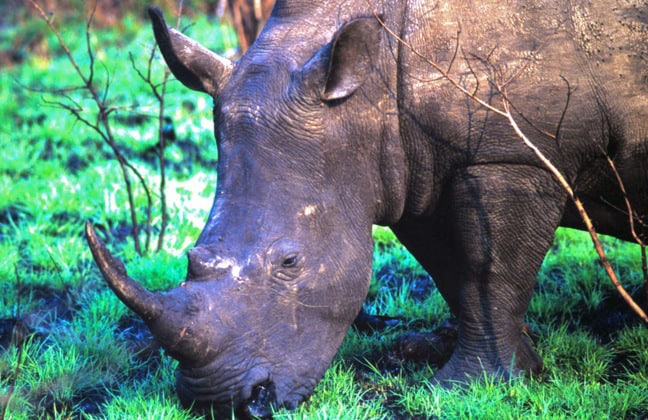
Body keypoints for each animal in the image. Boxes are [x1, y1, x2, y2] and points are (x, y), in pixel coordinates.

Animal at [86, 0, 648, 416]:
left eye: (290, 263)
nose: (222, 403)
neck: (368, 93)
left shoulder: (510, 153)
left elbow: (489, 275)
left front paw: (460, 389)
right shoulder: (411, 169)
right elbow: (456, 274)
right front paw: (518, 367)